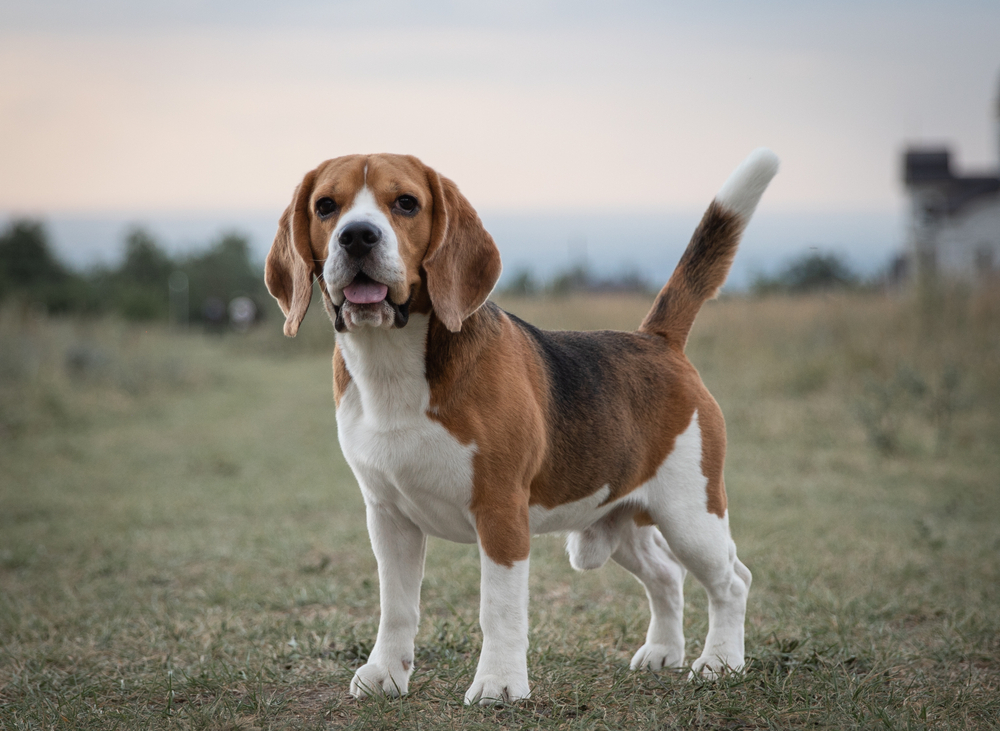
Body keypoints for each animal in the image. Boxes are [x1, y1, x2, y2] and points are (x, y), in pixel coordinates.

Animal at [266, 149, 780, 704]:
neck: (392, 363)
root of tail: (656, 340)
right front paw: (385, 674)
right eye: (325, 206)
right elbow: (397, 606)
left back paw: (720, 662)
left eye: (405, 202)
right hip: (616, 521)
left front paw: (498, 684)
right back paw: (664, 651)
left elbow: (499, 608)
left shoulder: (501, 512)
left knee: (732, 580)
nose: (358, 236)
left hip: (691, 515)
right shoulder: (388, 516)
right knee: (666, 575)